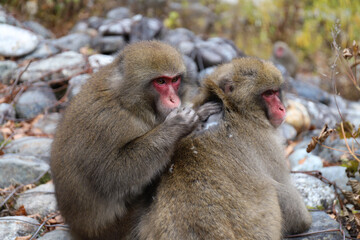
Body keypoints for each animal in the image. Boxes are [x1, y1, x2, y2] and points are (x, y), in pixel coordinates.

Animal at [49, 41, 221, 240]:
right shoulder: (106, 123)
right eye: (160, 82)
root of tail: (75, 229)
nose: (174, 99)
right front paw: (176, 126)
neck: (128, 103)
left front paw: (199, 113)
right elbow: (113, 175)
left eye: (175, 80)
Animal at [134, 57, 310, 239]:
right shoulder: (267, 141)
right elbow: (293, 207)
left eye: (275, 92)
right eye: (268, 94)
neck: (233, 108)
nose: (282, 108)